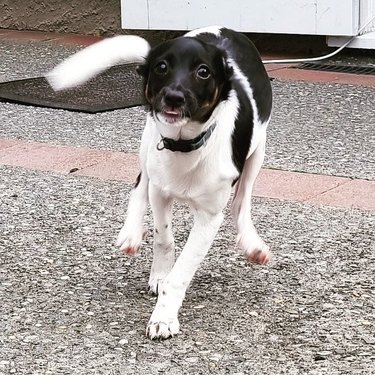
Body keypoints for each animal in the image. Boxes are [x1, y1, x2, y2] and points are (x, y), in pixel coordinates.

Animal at [47, 26, 274, 342]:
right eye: (162, 67)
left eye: (203, 72)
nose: (174, 97)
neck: (184, 145)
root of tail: (223, 30)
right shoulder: (160, 191)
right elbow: (163, 238)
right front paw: (160, 275)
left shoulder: (209, 217)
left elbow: (181, 273)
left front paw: (164, 316)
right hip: (147, 140)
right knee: (139, 185)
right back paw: (131, 234)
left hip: (257, 153)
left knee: (242, 200)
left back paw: (251, 243)